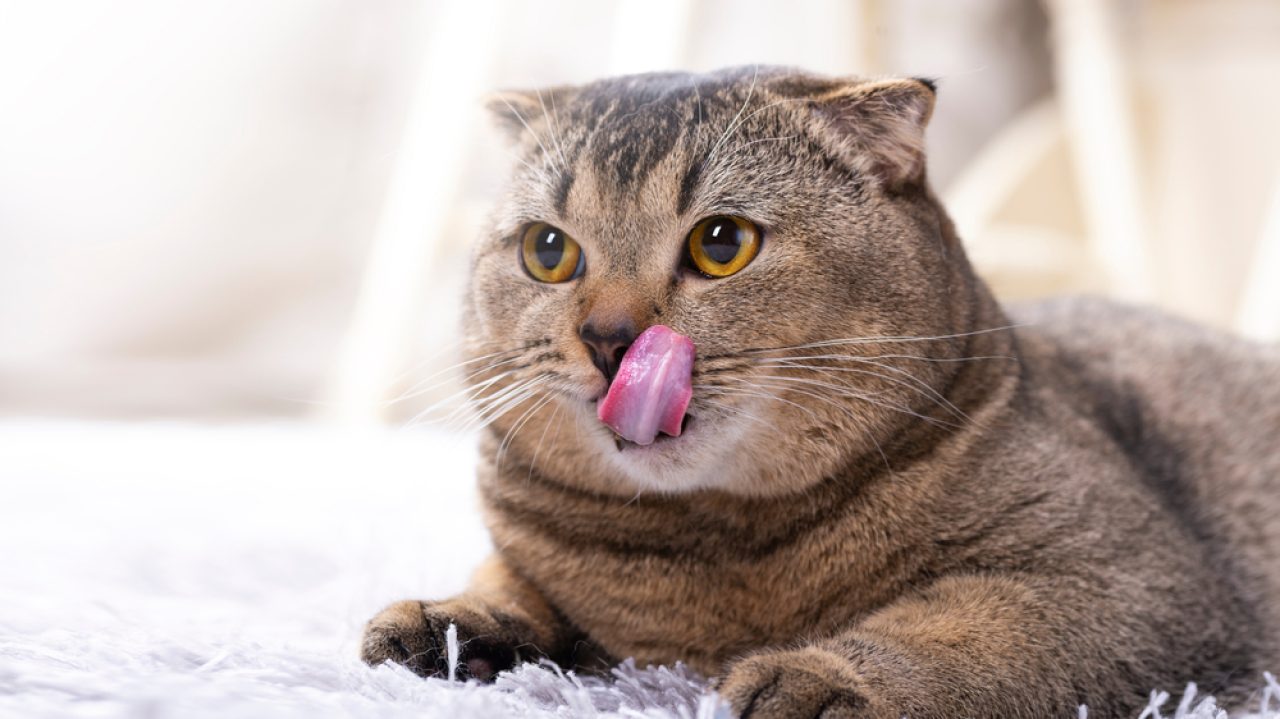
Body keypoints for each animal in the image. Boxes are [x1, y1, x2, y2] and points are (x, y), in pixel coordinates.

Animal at [360, 67, 1280, 716]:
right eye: (547, 250)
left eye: (722, 243)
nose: (609, 337)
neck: (714, 556)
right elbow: (507, 575)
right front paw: (452, 620)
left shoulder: (1137, 577)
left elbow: (964, 630)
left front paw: (825, 676)